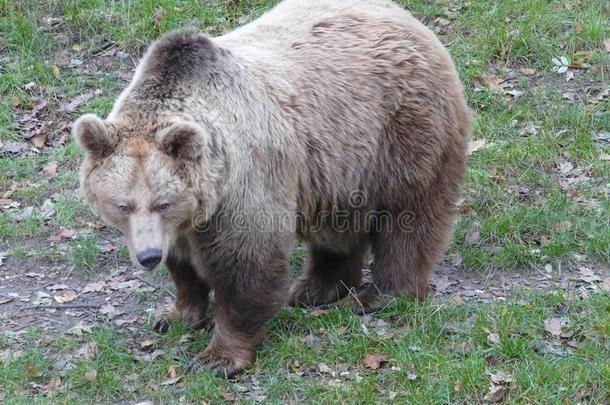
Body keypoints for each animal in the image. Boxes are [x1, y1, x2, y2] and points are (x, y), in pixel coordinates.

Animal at [73, 0, 468, 376]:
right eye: (122, 205)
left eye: (162, 202)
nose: (149, 256)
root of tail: (410, 20)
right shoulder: (187, 218)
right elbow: (184, 266)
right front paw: (174, 314)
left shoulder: (243, 182)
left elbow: (248, 260)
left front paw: (220, 357)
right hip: (337, 162)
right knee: (338, 225)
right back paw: (316, 288)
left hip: (401, 129)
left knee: (408, 215)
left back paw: (379, 295)